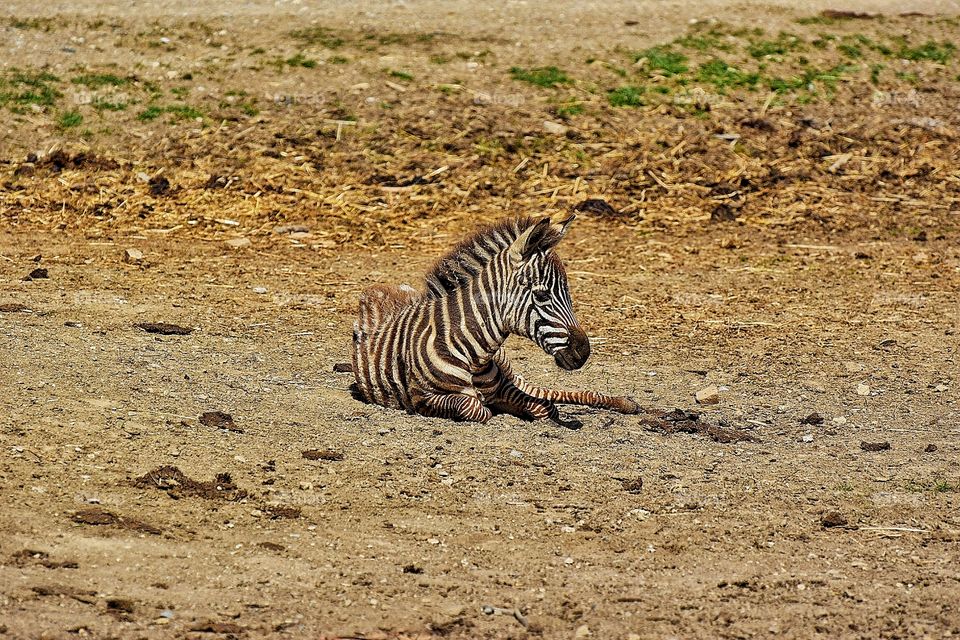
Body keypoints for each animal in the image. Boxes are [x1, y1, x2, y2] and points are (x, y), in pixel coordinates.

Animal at [350, 214, 640, 426]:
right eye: (542, 295)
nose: (583, 351)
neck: (474, 352)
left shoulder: (502, 387)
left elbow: (546, 407)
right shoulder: (422, 397)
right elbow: (474, 407)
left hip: (509, 370)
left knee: (546, 391)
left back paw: (625, 403)